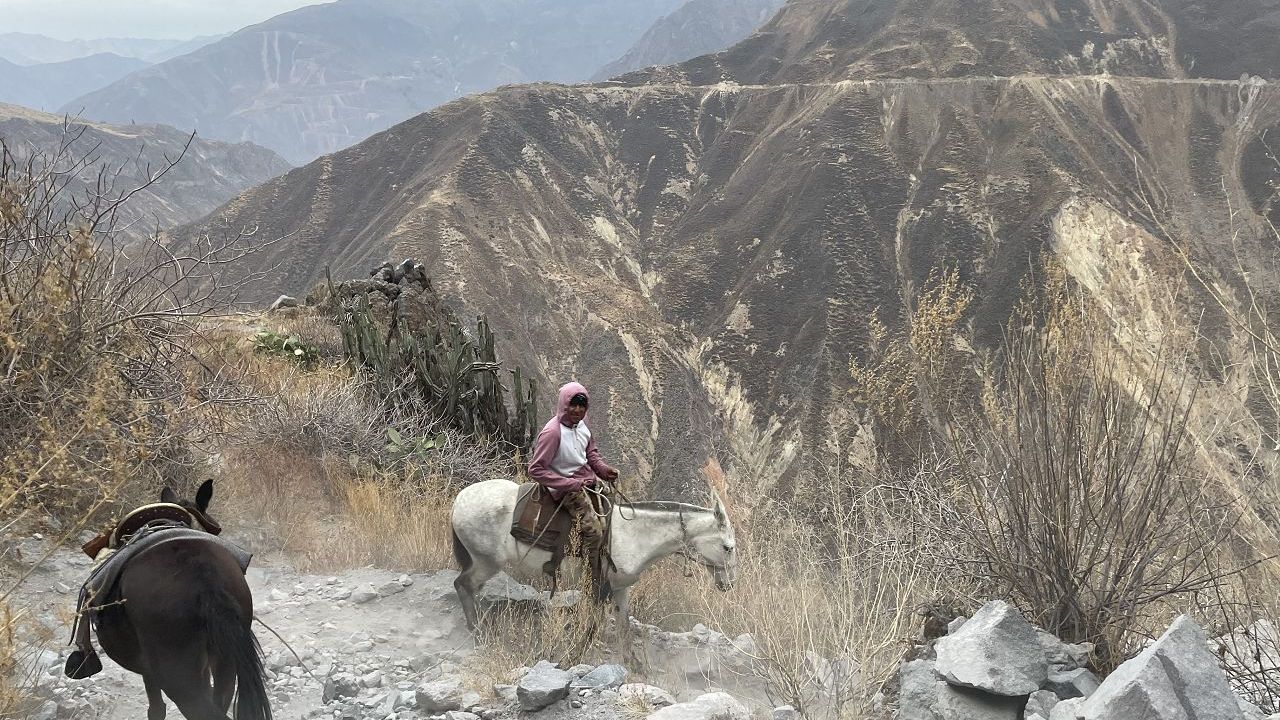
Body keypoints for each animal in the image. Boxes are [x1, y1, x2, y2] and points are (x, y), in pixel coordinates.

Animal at [450, 479, 737, 640]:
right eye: (728, 547)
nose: (729, 584)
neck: (635, 535)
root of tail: (458, 501)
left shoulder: (619, 588)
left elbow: (623, 627)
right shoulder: (600, 588)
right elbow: (591, 626)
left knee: (470, 588)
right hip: (487, 561)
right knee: (463, 585)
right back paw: (477, 630)